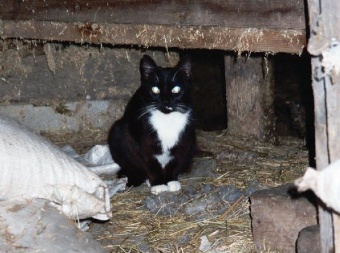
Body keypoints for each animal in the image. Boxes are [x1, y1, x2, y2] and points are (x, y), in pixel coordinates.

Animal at [107, 54, 198, 195]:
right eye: (155, 89)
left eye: (176, 89)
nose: (166, 102)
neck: (167, 119)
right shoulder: (140, 144)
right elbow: (150, 163)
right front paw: (159, 184)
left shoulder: (184, 140)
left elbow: (175, 161)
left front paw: (171, 180)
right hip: (117, 131)